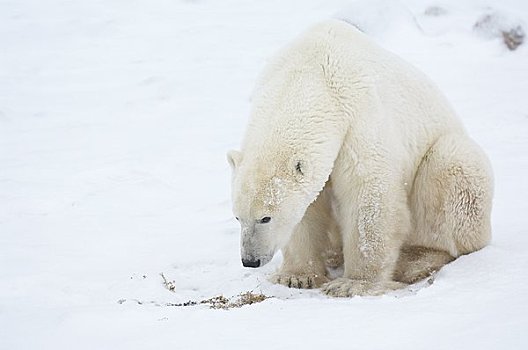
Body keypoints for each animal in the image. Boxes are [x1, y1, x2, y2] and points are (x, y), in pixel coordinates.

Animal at [228, 19, 496, 296]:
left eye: (265, 218)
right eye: (237, 216)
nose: (250, 260)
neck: (311, 72)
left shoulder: (359, 119)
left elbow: (368, 196)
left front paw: (352, 284)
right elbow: (308, 208)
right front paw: (296, 277)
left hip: (449, 167)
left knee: (452, 167)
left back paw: (415, 261)